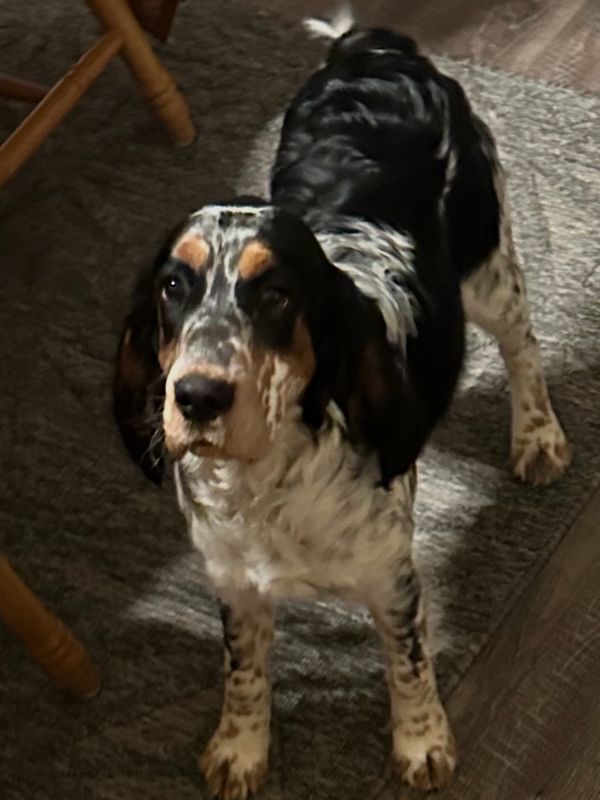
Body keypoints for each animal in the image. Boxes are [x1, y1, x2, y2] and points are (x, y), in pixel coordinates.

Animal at [113, 9, 571, 797]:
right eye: (173, 286)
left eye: (275, 294)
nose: (197, 396)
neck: (267, 481)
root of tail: (377, 52)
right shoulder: (233, 580)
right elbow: (243, 672)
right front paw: (239, 748)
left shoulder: (391, 575)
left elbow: (408, 662)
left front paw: (422, 744)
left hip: (487, 265)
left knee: (523, 344)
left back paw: (537, 437)